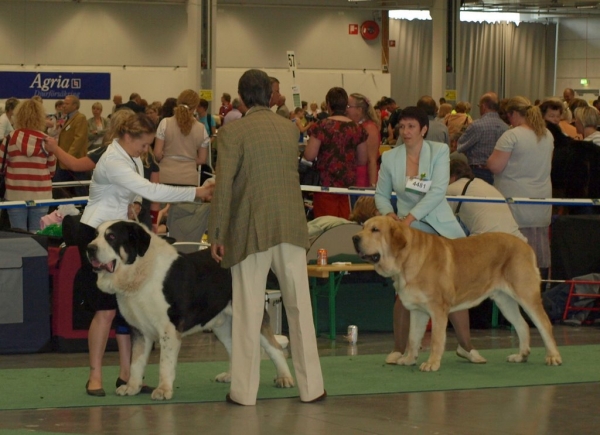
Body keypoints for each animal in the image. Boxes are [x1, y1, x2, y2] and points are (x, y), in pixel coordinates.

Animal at [87, 221, 296, 402]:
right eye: (96, 235)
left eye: (111, 237)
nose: (90, 248)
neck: (143, 271)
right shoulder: (139, 330)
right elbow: (136, 362)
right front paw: (132, 387)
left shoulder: (168, 330)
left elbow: (165, 363)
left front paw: (163, 390)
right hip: (221, 324)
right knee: (234, 348)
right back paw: (231, 376)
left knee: (275, 348)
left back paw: (285, 378)